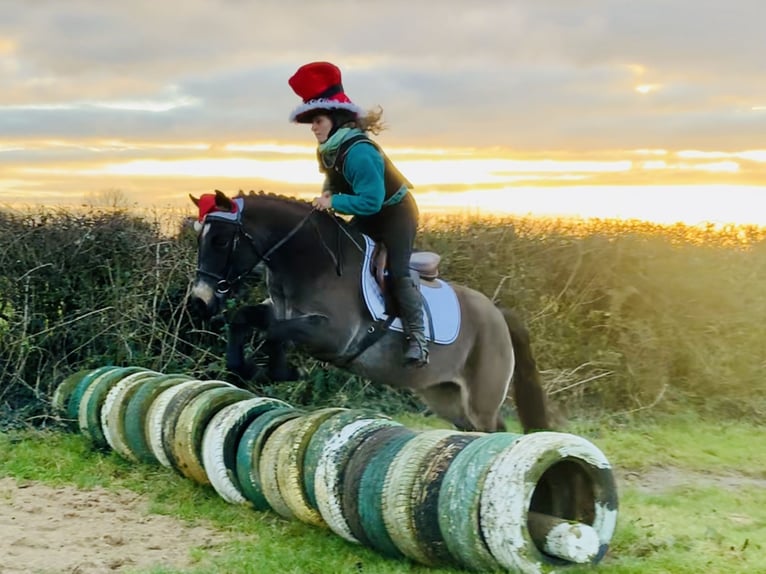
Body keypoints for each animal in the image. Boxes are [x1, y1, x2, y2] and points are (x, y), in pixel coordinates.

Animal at [191, 191, 552, 434]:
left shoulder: (332, 335)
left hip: (480, 399)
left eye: (221, 241)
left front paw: (283, 371)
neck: (310, 261)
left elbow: (274, 334)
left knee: (495, 432)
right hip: (445, 396)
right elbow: (245, 320)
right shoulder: (280, 312)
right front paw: (246, 368)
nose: (199, 301)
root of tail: (499, 315)